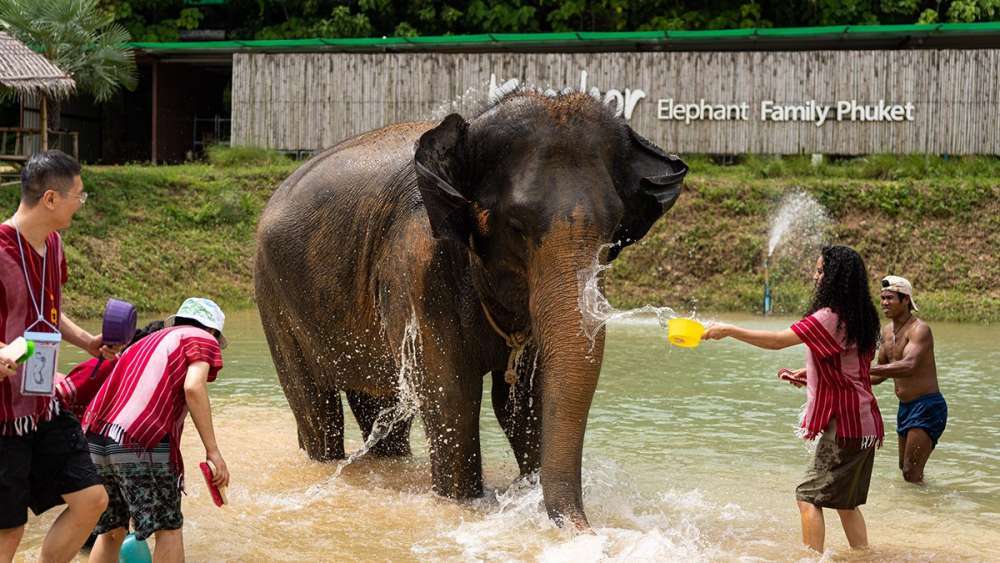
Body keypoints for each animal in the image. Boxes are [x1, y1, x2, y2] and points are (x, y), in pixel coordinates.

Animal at [254, 88, 684, 528]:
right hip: (273, 297)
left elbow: (525, 404)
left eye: (613, 232)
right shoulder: (416, 266)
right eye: (517, 226)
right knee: (318, 412)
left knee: (382, 410)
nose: (583, 528)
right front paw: (465, 503)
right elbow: (451, 398)